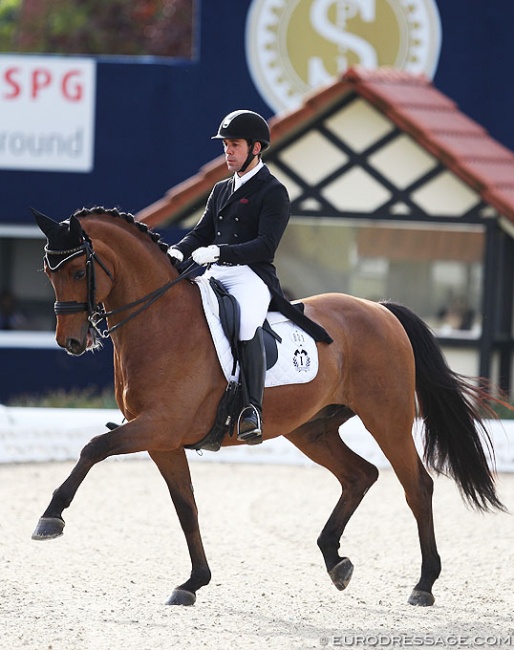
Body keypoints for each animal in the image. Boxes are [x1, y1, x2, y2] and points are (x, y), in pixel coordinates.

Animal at [32, 205, 504, 604]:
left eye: (78, 269)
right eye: (47, 272)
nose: (70, 342)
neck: (160, 320)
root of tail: (380, 310)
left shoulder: (158, 425)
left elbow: (93, 448)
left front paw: (50, 518)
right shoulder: (161, 440)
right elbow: (186, 507)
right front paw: (193, 582)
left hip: (386, 419)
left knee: (416, 486)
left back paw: (423, 584)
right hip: (311, 429)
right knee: (359, 475)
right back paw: (336, 560)